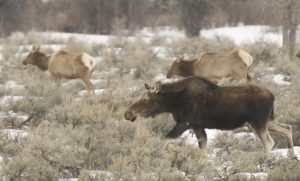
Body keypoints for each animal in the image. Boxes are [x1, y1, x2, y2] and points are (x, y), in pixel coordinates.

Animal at [123, 76, 294, 157]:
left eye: (145, 99)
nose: (127, 113)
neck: (172, 103)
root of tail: (273, 96)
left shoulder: (184, 123)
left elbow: (162, 139)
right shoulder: (198, 127)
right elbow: (203, 149)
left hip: (258, 122)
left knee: (269, 142)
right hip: (267, 120)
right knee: (287, 127)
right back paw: (291, 156)